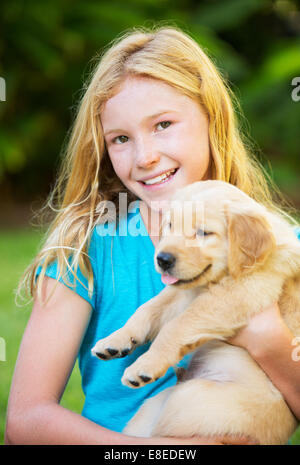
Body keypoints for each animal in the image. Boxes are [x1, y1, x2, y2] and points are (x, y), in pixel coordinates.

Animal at [91, 179, 300, 444]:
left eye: (203, 233)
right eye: (170, 225)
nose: (163, 259)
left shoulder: (240, 292)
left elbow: (176, 326)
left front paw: (144, 365)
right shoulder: (183, 292)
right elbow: (147, 308)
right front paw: (116, 340)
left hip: (193, 400)